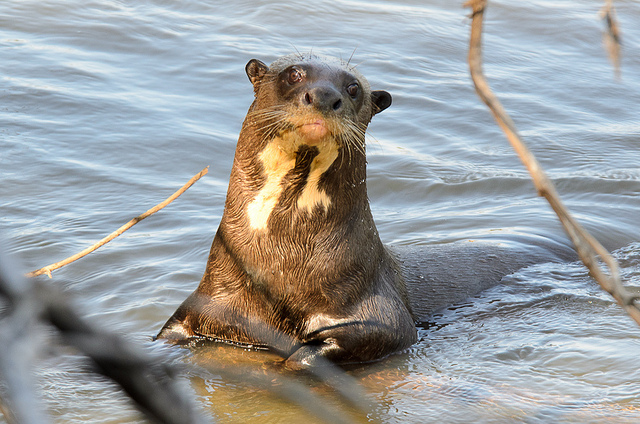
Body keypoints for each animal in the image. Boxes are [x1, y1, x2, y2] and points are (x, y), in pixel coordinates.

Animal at [156, 53, 573, 367]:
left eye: (353, 88)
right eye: (294, 74)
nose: (325, 96)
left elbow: (323, 350)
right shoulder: (209, 303)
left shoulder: (378, 313)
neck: (276, 267)